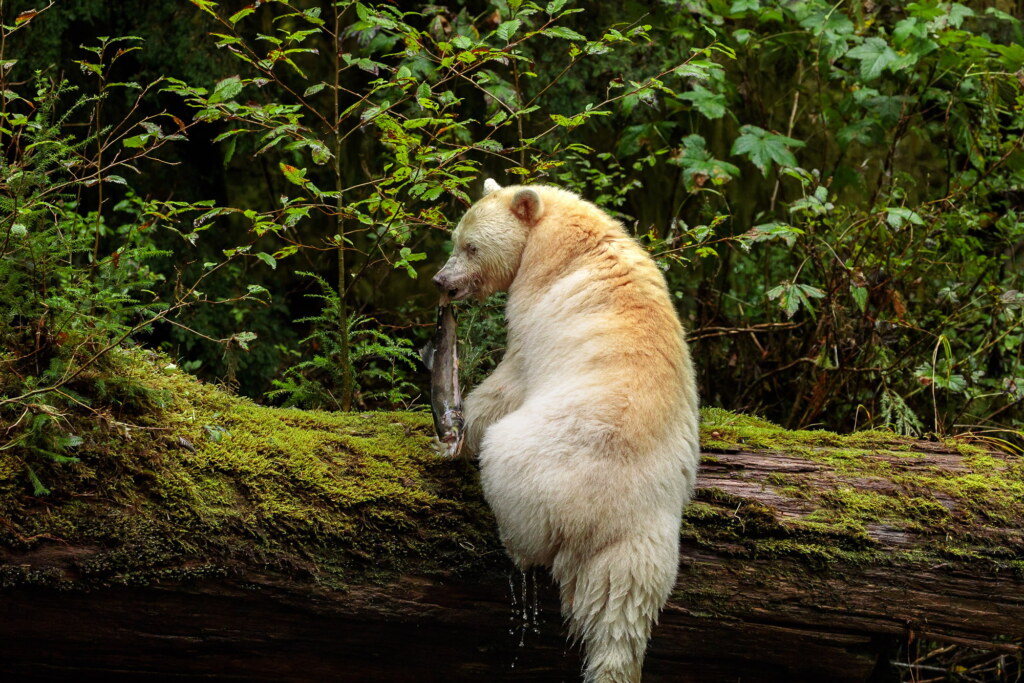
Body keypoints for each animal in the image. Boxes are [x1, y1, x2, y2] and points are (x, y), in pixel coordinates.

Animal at [432, 179, 700, 683]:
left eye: (470, 245)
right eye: (455, 239)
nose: (441, 281)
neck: (567, 239)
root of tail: (607, 521)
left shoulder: (537, 303)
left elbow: (509, 380)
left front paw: (458, 434)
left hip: (532, 467)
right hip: (654, 534)